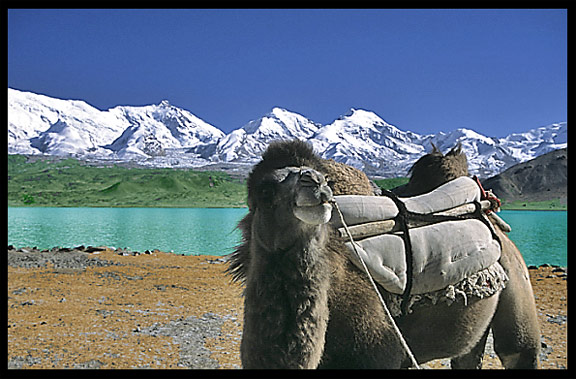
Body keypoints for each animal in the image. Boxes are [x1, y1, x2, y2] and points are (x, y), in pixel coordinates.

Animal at [227, 141, 544, 370]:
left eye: (325, 178)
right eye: (265, 190)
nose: (314, 181)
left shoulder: (378, 354)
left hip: (517, 292)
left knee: (518, 351)